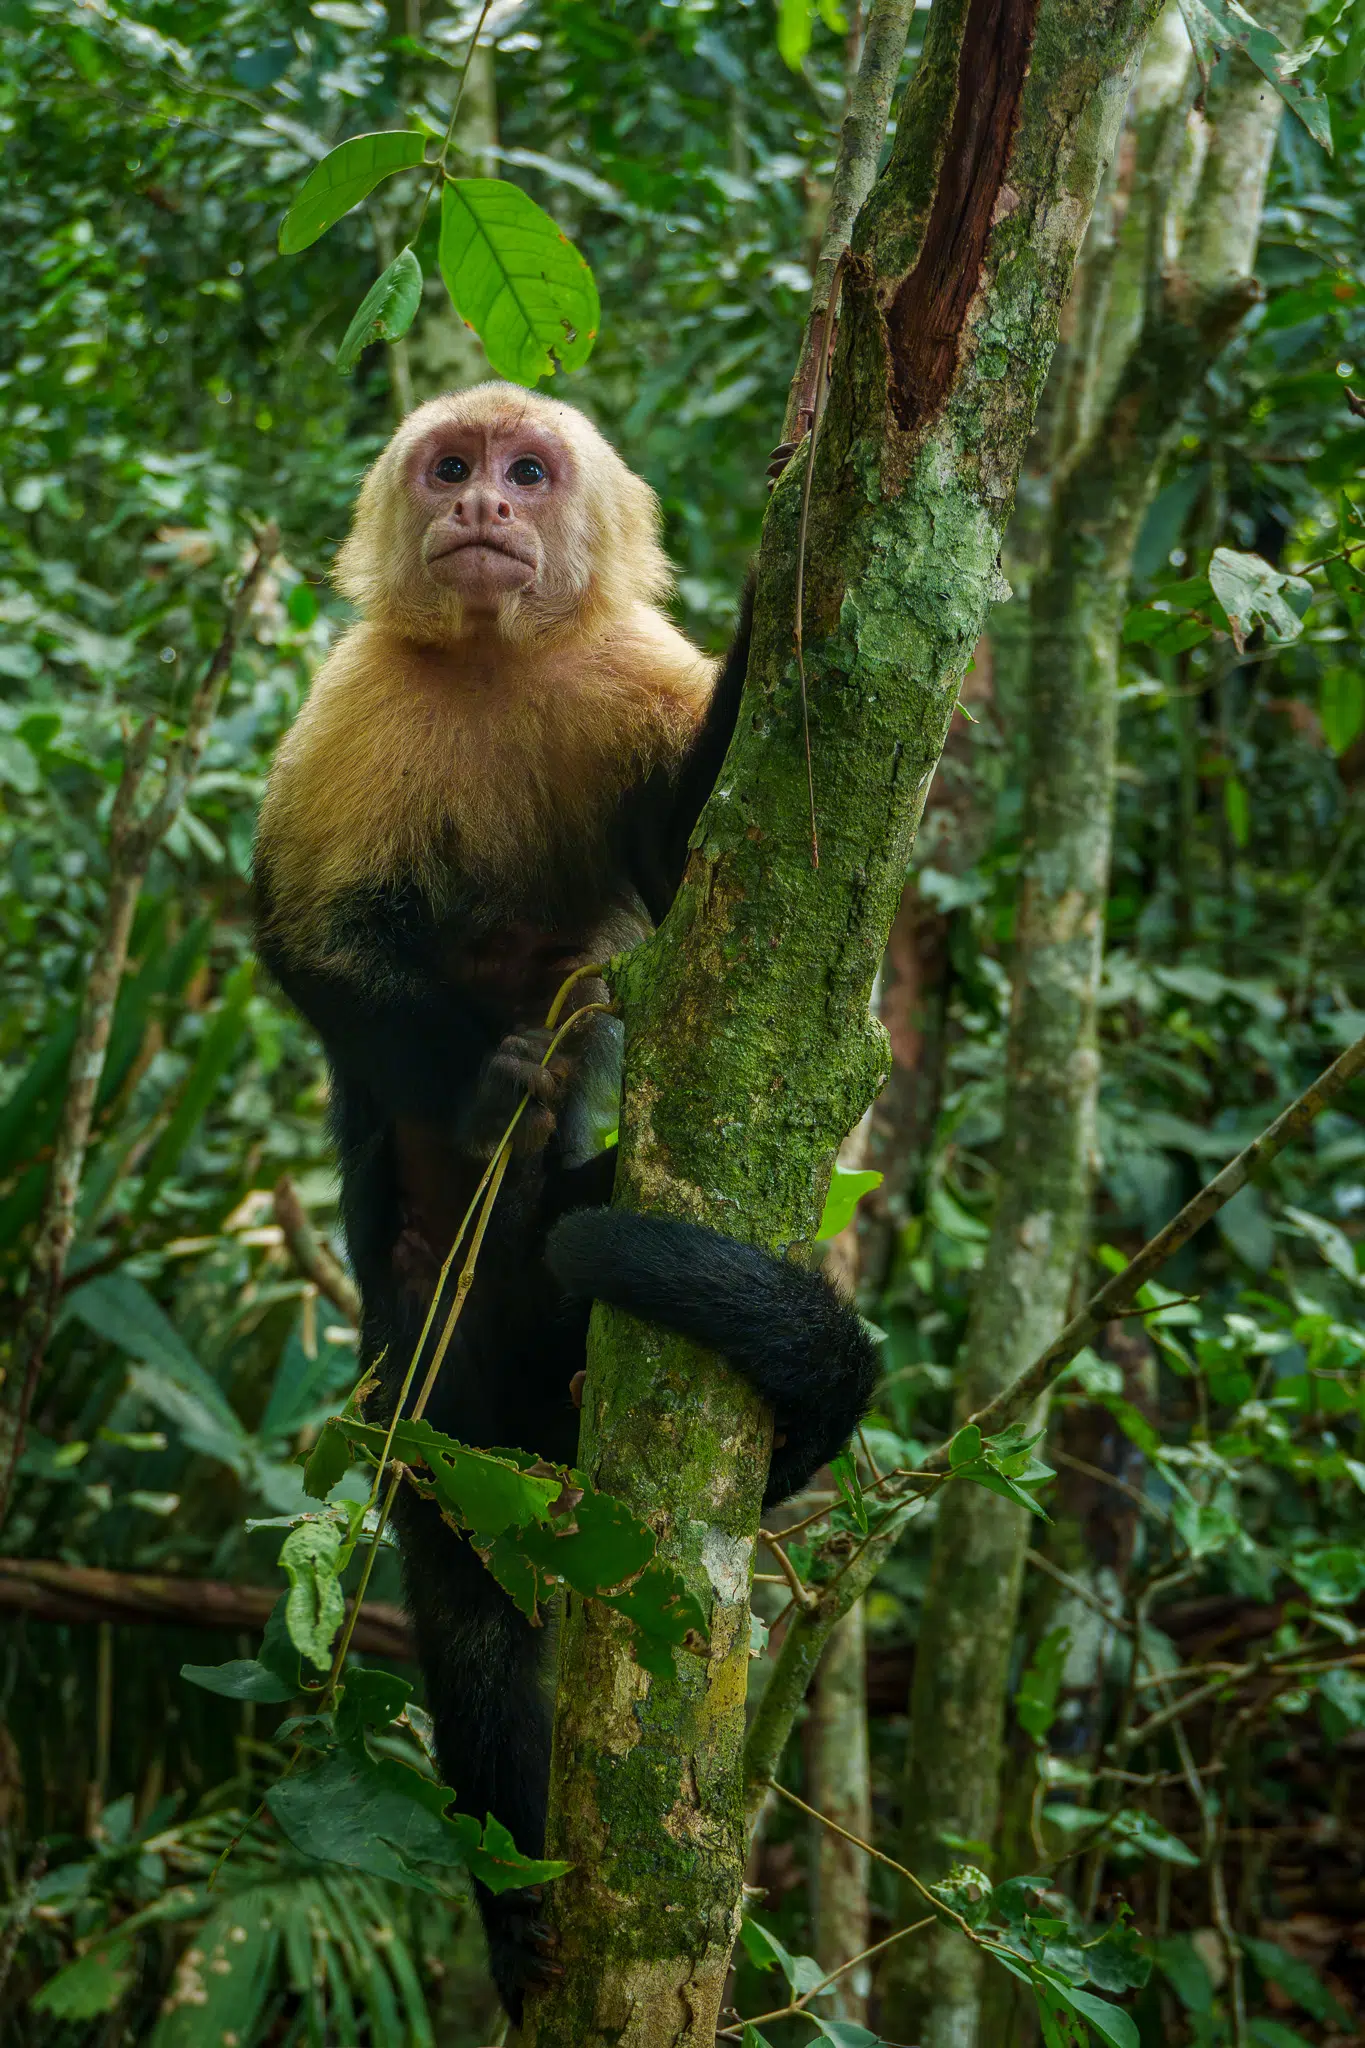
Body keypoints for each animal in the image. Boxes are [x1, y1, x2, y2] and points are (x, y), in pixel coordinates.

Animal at [252, 383, 877, 2018]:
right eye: (450, 467)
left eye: (531, 472)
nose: (484, 508)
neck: (491, 664)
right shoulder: (353, 704)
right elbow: (305, 944)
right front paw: (491, 1092)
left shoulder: (621, 675)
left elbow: (688, 846)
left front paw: (790, 547)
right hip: (425, 1360)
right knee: (476, 1608)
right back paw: (517, 1900)